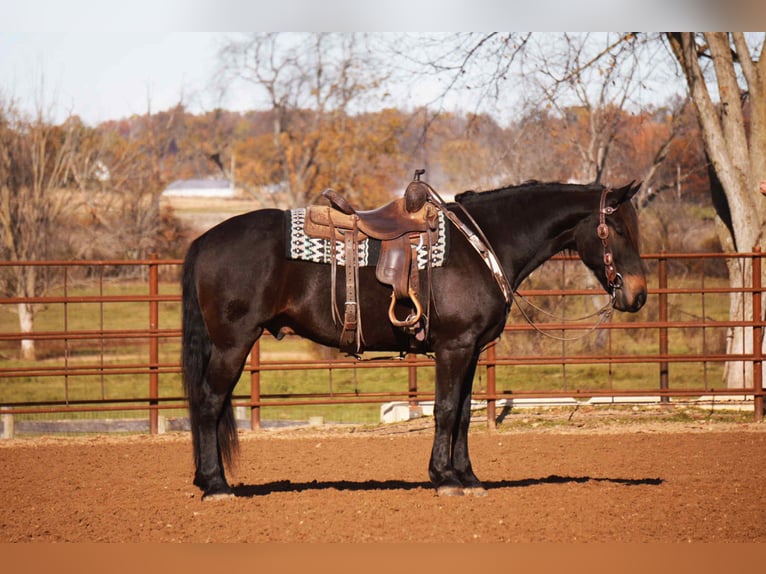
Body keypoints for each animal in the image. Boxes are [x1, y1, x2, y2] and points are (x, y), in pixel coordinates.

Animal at [181, 178, 647, 499]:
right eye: (618, 229)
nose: (638, 294)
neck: (483, 245)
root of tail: (204, 240)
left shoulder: (471, 349)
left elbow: (463, 414)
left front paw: (468, 477)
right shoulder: (454, 347)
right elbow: (444, 410)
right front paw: (444, 479)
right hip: (234, 344)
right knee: (209, 402)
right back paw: (216, 485)